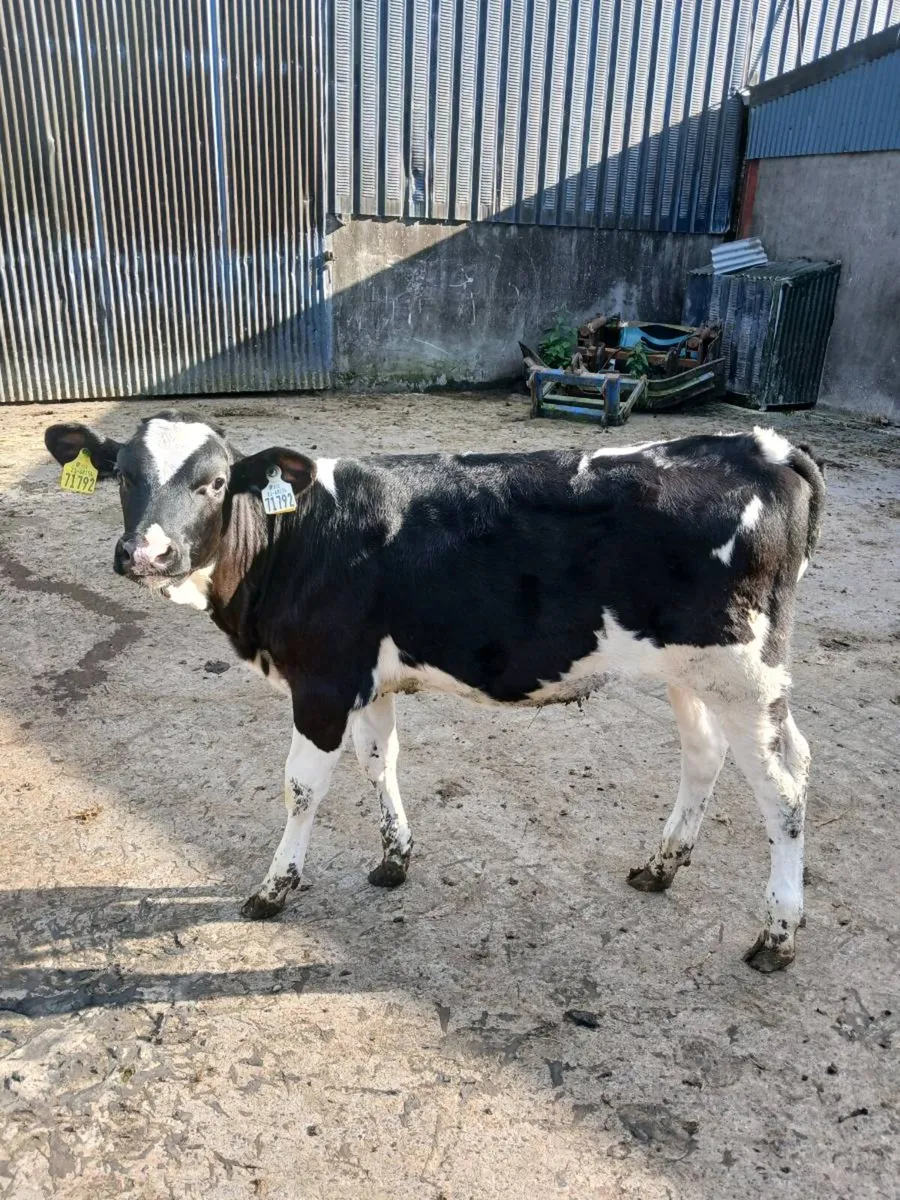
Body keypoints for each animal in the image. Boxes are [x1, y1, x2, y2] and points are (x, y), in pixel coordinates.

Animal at [44, 412, 826, 972]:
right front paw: (395, 859)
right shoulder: (367, 680)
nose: (146, 553)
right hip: (689, 669)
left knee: (786, 785)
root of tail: (760, 446)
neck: (294, 539)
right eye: (123, 477)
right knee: (703, 755)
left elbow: (301, 789)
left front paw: (274, 888)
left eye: (212, 482)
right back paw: (660, 868)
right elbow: (380, 762)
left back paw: (779, 935)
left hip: (744, 672)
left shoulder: (321, 680)